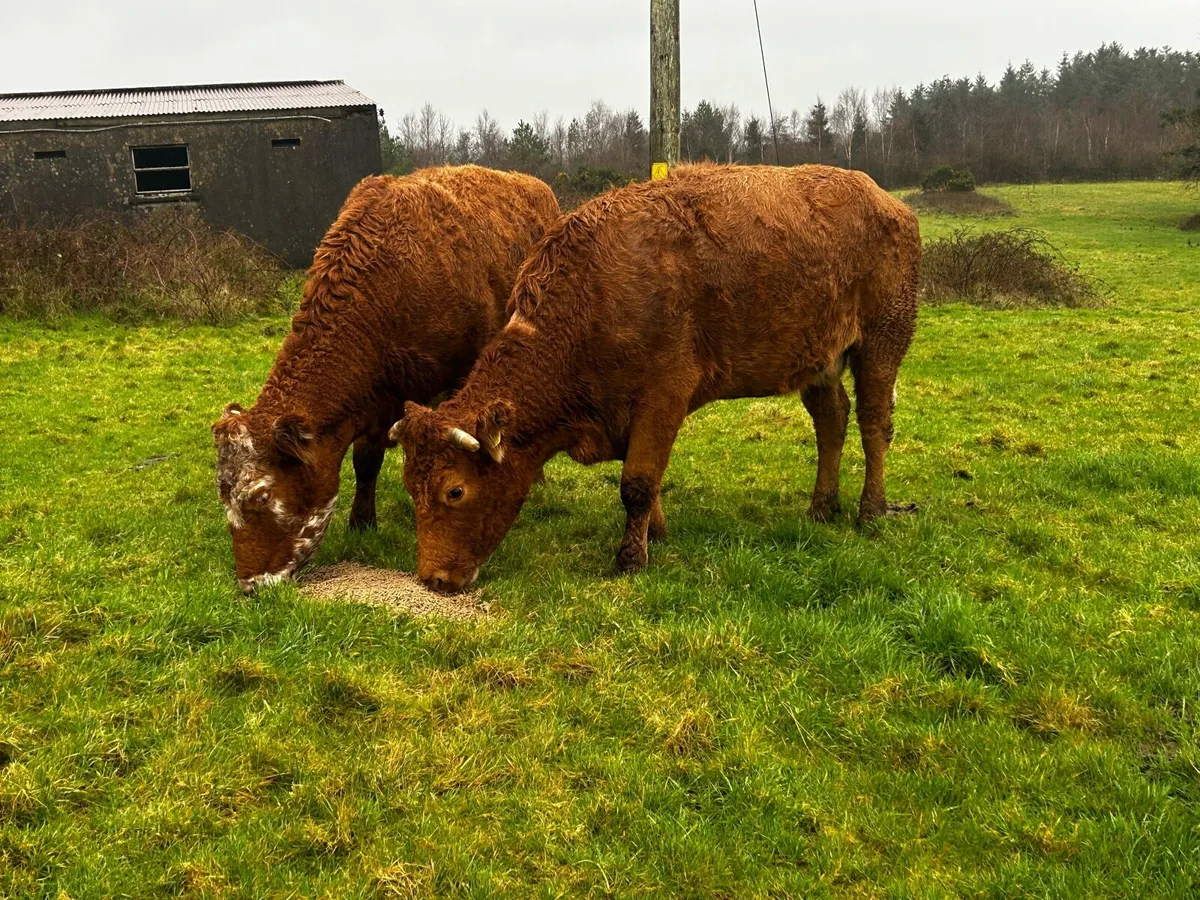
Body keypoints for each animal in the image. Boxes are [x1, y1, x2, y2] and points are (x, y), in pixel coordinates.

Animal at [212, 165, 560, 593]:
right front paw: (362, 521)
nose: (249, 584)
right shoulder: (373, 400)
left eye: (261, 497)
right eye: (224, 497)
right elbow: (366, 461)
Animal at [392, 164, 921, 593]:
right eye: (410, 487)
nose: (433, 578)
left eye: (455, 491)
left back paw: (870, 509)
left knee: (875, 423)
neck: (589, 302)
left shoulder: (664, 396)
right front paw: (657, 534)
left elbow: (638, 483)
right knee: (832, 420)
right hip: (820, 360)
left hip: (882, 341)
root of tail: (890, 203)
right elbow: (646, 476)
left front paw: (630, 558)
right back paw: (821, 507)